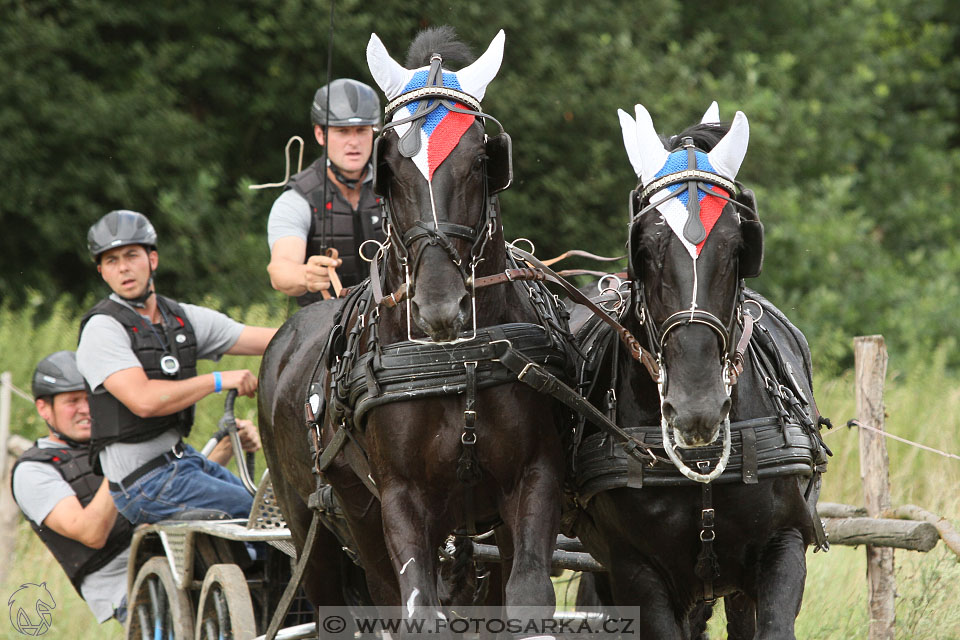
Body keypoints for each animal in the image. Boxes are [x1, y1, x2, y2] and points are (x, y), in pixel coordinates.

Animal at [256, 26, 568, 624]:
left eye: (480, 159)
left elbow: (527, 594)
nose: (440, 308)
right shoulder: (401, 498)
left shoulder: (534, 477)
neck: (455, 361)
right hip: (319, 528)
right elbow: (418, 607)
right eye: (392, 168)